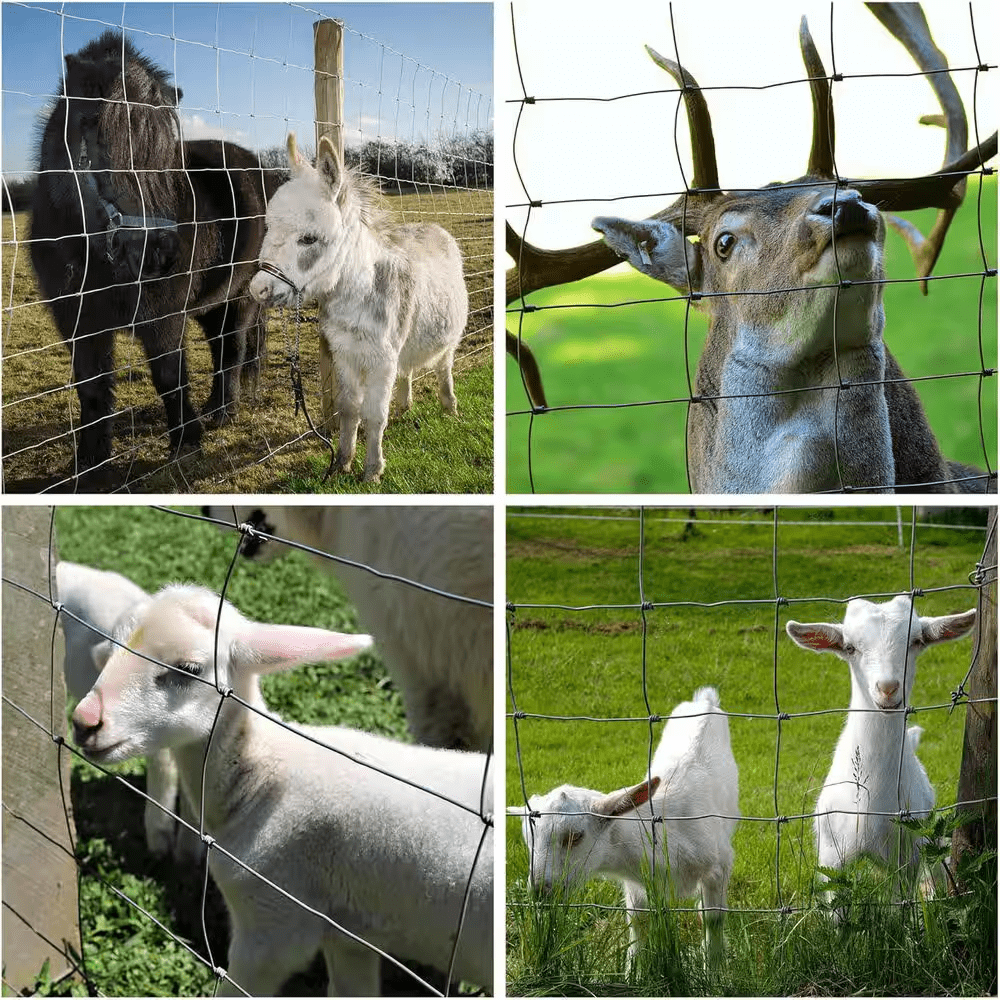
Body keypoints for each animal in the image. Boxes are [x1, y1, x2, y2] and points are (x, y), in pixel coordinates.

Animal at [71, 584, 493, 997]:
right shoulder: (348, 935)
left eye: (189, 669)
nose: (85, 722)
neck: (261, 779)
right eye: (110, 651)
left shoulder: (272, 922)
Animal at [508, 686, 739, 966]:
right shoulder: (637, 884)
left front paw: (713, 968)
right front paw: (634, 970)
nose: (540, 891)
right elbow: (638, 921)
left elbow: (712, 919)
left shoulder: (720, 864)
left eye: (576, 836)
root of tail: (704, 700)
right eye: (528, 839)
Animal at [786, 595, 976, 906]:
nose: (888, 688)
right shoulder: (831, 857)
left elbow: (900, 904)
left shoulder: (906, 855)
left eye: (916, 641)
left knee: (936, 868)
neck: (870, 800)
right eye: (850, 647)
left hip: (930, 835)